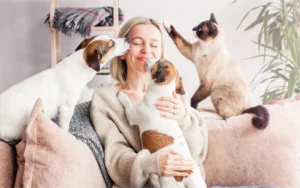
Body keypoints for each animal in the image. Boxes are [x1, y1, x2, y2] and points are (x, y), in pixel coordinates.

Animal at [117, 59, 206, 188]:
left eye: (158, 61)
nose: (148, 58)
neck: (162, 91)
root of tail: (188, 174)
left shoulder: (132, 115)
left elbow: (128, 105)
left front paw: (123, 97)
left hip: (168, 182)